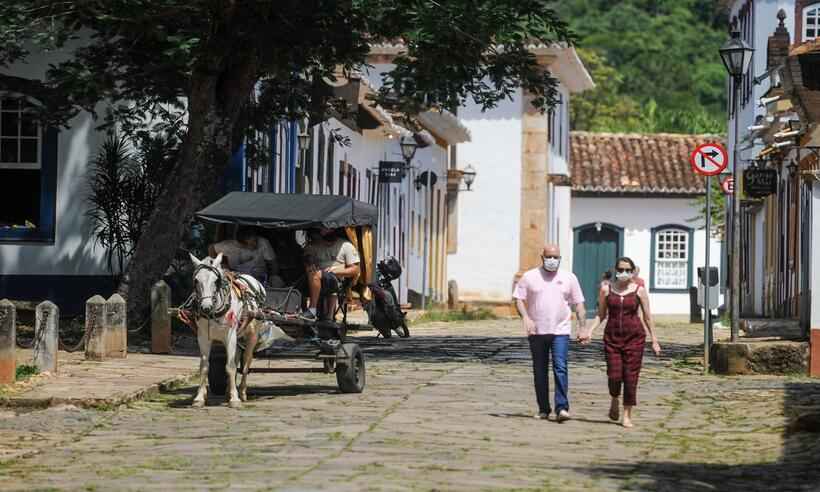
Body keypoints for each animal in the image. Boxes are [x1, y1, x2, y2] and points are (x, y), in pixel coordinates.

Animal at [186, 254, 270, 408]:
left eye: (216, 280)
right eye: (196, 280)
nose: (205, 307)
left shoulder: (230, 336)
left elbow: (230, 367)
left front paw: (235, 399)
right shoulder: (203, 337)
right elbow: (204, 367)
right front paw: (199, 398)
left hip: (252, 334)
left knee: (246, 362)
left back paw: (241, 392)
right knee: (237, 359)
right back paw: (228, 391)